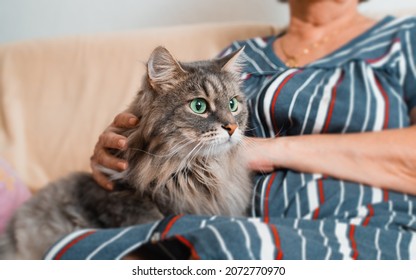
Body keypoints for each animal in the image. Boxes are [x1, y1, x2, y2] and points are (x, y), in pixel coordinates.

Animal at [0, 46, 250, 260]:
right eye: (199, 106)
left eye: (232, 104)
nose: (231, 127)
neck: (192, 170)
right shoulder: (108, 196)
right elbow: (150, 218)